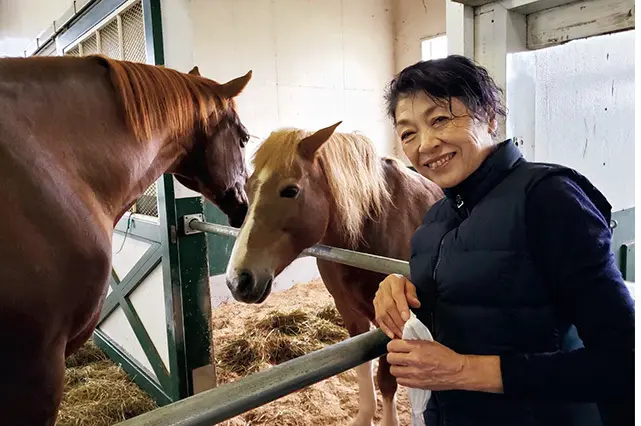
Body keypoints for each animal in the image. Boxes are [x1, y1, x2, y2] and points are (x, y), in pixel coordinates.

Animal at [225, 122, 444, 426]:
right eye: (248, 187)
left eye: (290, 190)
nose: (238, 280)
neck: (373, 224)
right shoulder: (349, 312)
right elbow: (363, 369)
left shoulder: (391, 321)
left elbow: (386, 380)